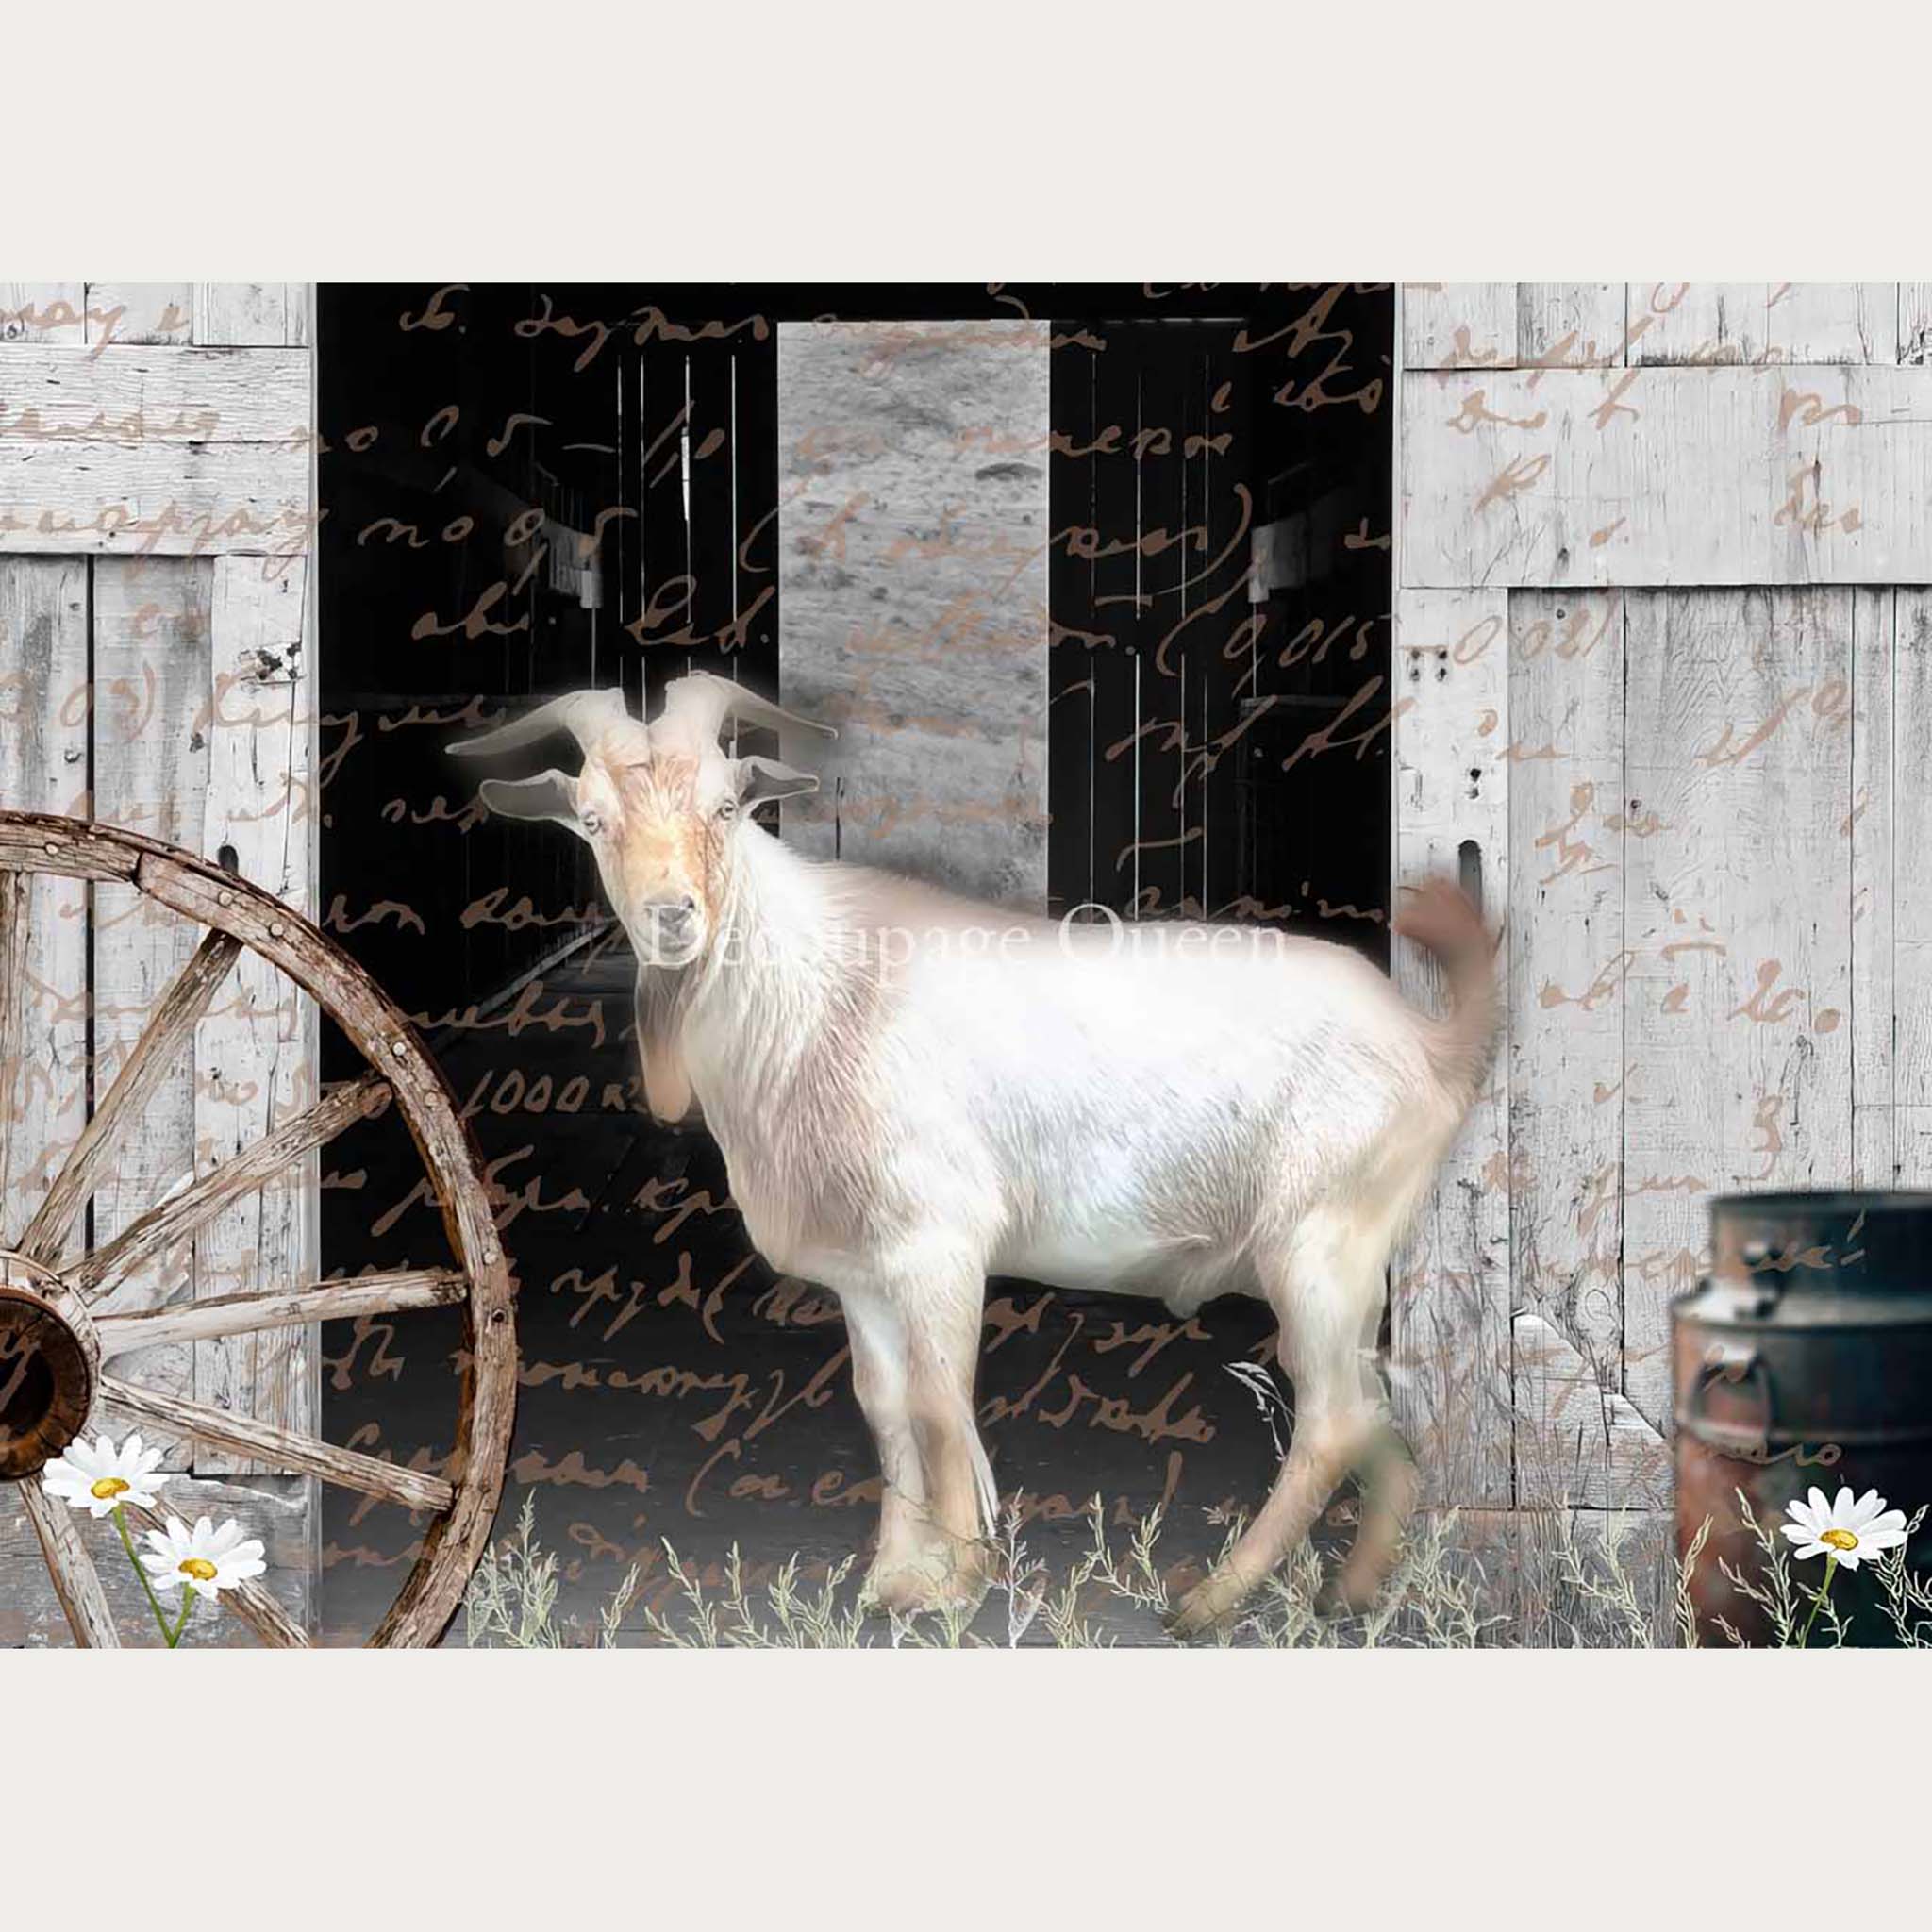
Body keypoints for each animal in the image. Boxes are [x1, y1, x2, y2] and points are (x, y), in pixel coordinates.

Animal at [452, 675, 1491, 1630]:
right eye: (592, 818)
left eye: (725, 804)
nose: (673, 914)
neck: (819, 992)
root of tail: (1428, 1040)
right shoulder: (863, 1272)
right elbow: (885, 1406)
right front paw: (889, 1573)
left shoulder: (936, 1244)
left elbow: (940, 1401)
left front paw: (951, 1579)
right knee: (1374, 1410)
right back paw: (1351, 1591)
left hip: (1320, 1242)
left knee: (1331, 1417)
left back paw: (1209, 1600)